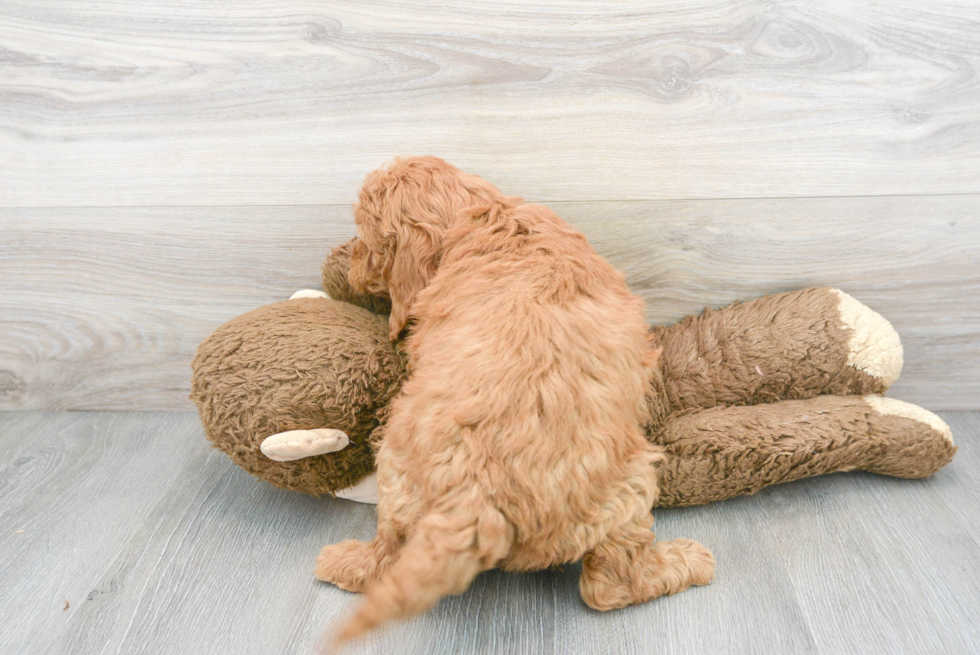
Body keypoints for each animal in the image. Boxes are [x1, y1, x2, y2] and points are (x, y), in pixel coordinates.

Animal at [318, 158, 716, 640]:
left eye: (366, 237)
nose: (346, 259)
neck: (483, 217)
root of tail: (473, 495)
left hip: (395, 474)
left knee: (388, 552)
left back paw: (343, 563)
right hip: (629, 486)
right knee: (610, 587)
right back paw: (687, 562)